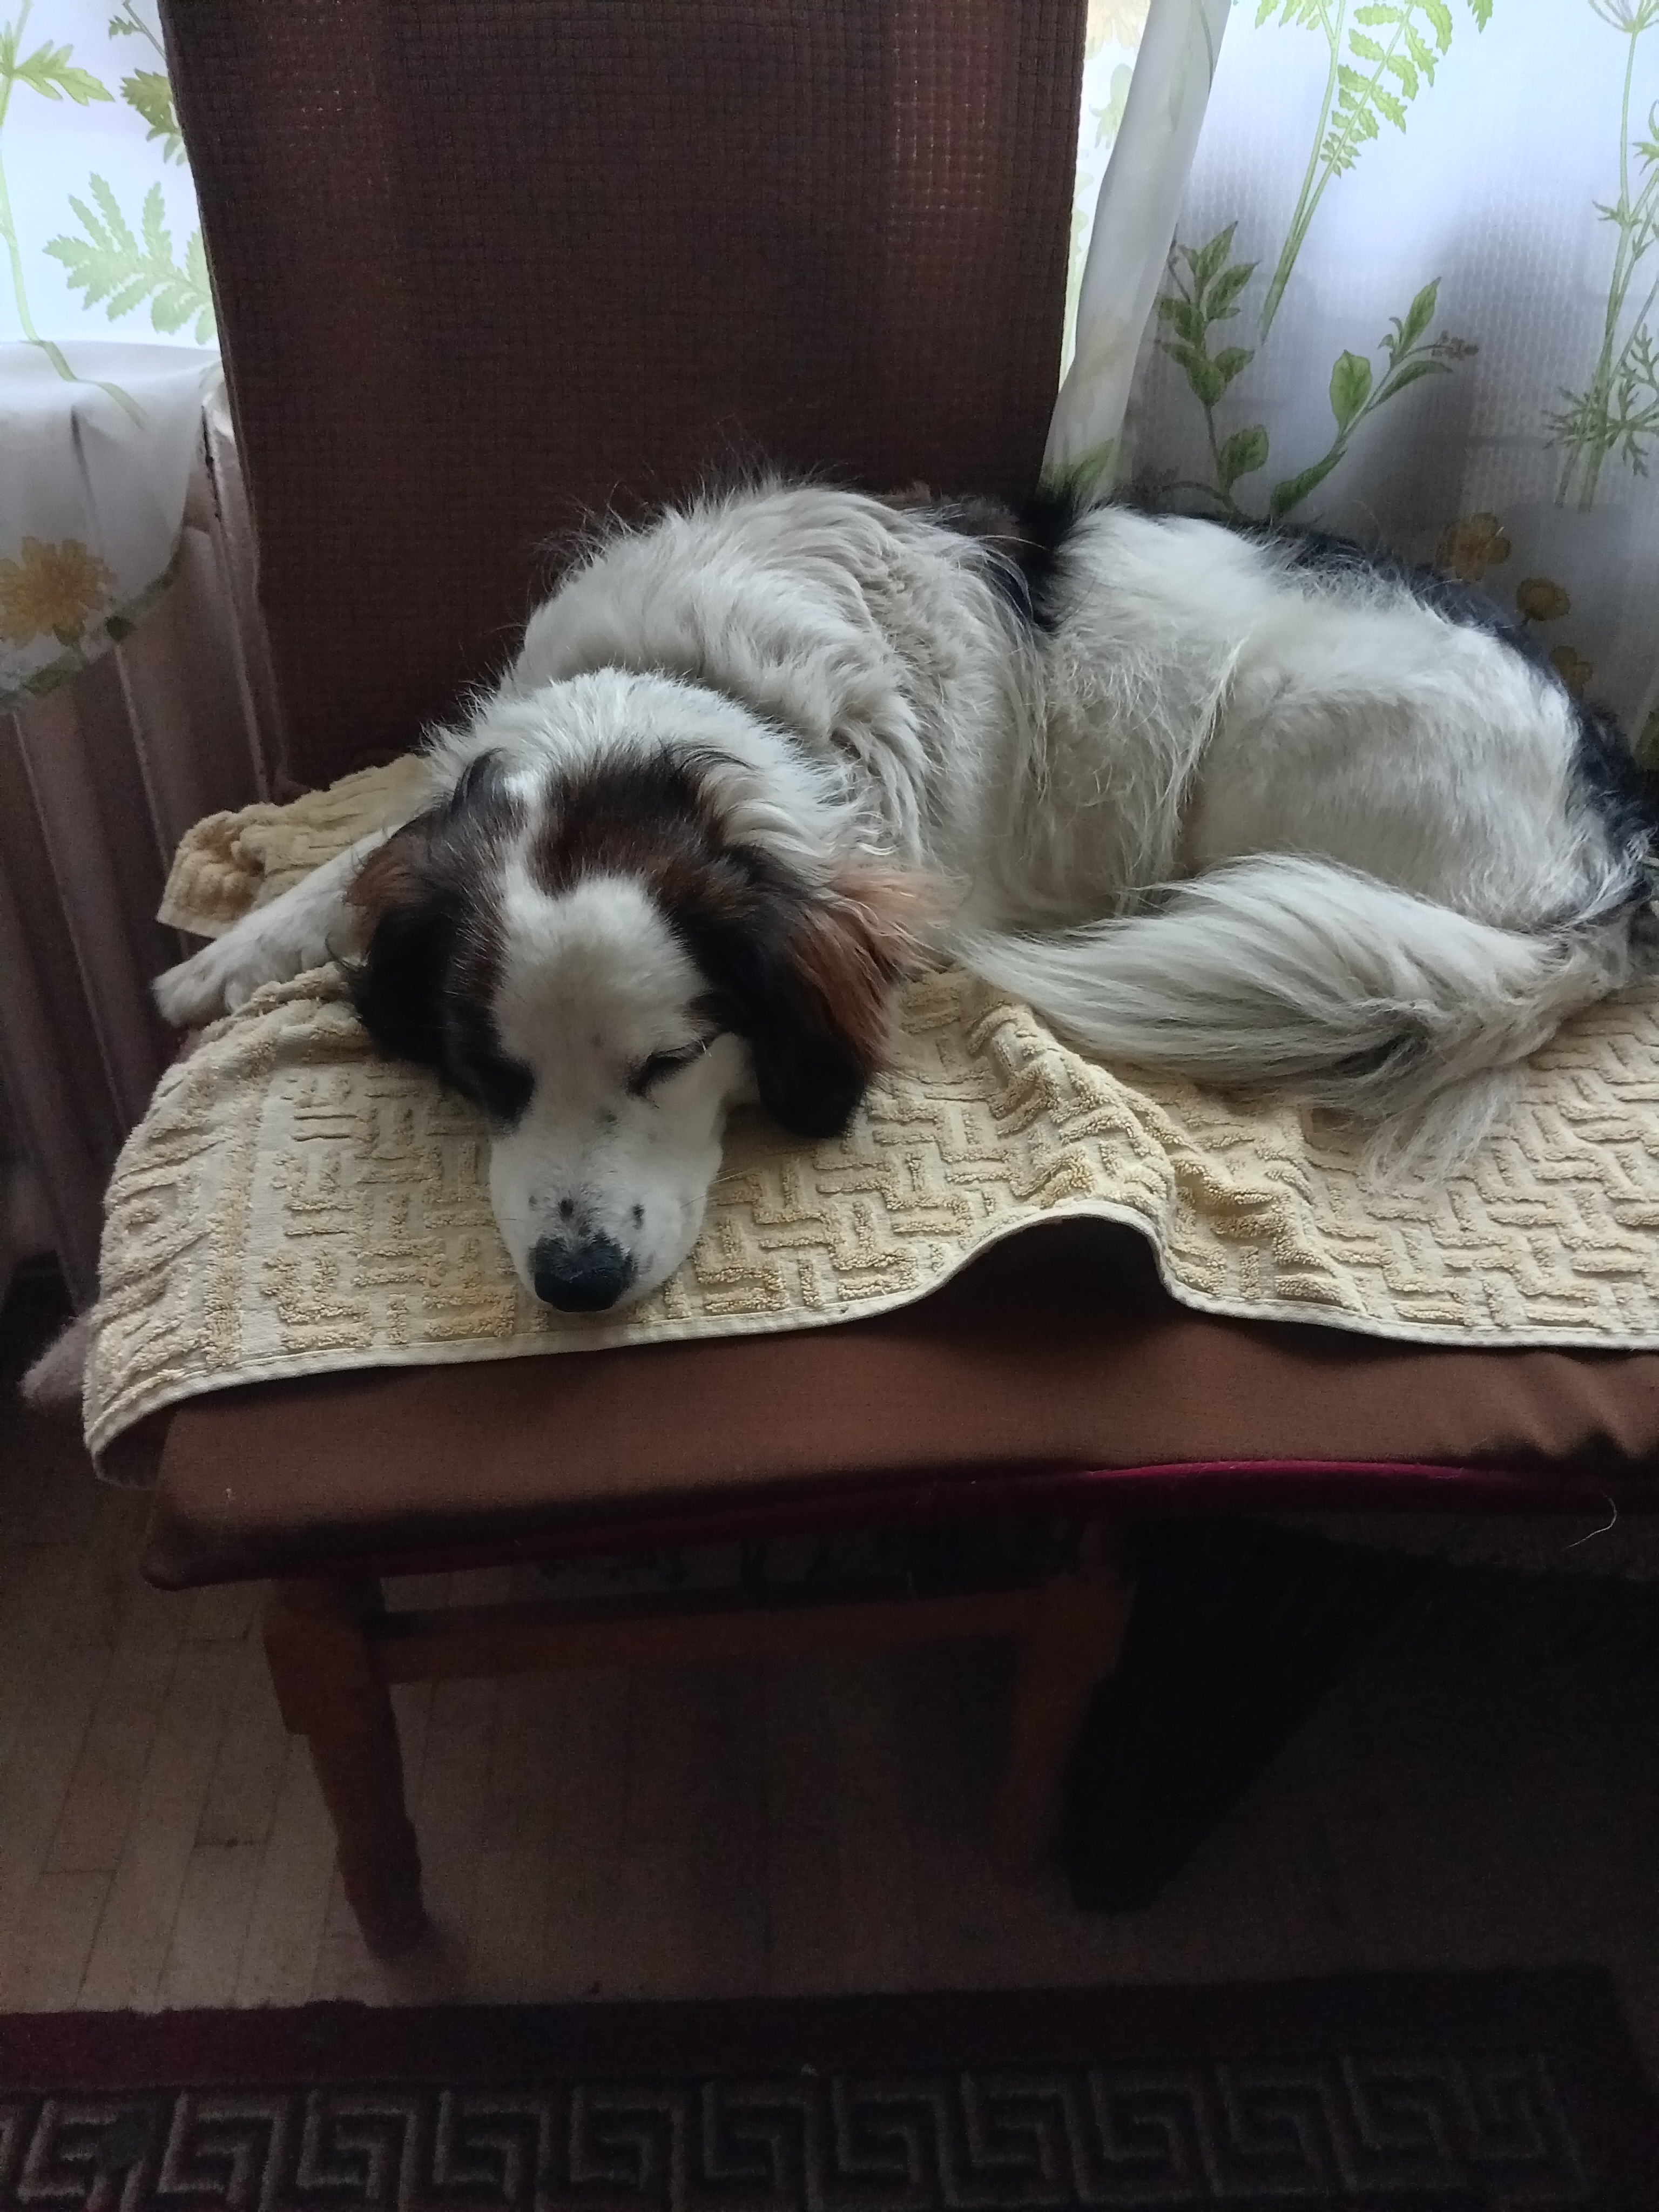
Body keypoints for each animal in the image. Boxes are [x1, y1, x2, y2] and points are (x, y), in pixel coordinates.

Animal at [154, 481, 1656, 1315]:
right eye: (487, 1075)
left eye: (672, 1062)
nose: (576, 1283)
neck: (686, 711)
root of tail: (1613, 846)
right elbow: (363, 853)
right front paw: (225, 957)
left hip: (1280, 734)